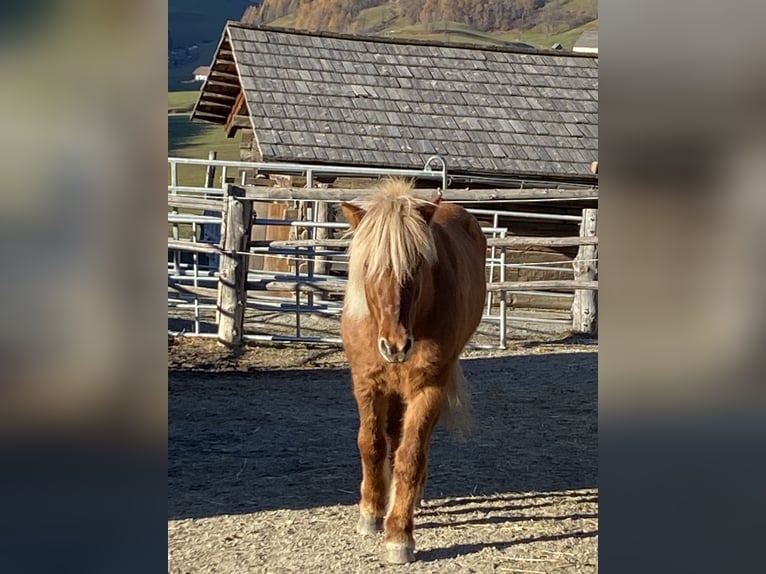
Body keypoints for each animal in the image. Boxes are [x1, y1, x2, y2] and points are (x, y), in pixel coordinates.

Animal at [340, 178, 486, 564]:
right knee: (390, 436)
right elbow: (372, 444)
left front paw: (399, 535)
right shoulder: (367, 383)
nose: (395, 345)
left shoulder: (428, 387)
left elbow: (410, 454)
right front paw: (371, 512)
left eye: (416, 266)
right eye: (368, 266)